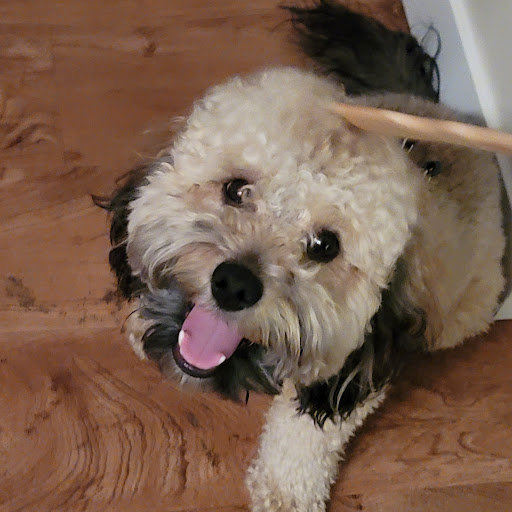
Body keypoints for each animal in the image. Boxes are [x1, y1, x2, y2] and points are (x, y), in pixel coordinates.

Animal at [95, 4, 506, 511]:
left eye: (325, 245)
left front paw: (283, 491)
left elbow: (304, 436)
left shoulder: (351, 377)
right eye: (236, 189)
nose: (234, 284)